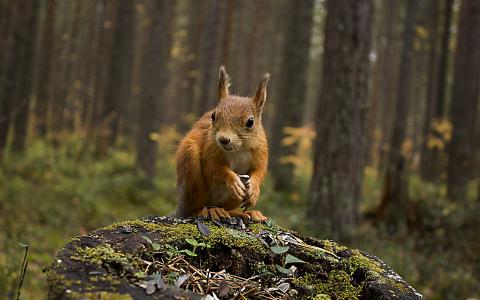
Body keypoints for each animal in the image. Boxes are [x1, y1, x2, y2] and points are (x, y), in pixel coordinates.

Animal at [175, 66, 270, 223]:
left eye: (250, 122)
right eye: (213, 116)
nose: (223, 139)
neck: (238, 149)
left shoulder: (260, 151)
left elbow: (259, 171)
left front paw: (255, 189)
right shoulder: (211, 148)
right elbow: (213, 168)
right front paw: (233, 180)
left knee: (227, 208)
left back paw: (244, 213)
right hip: (191, 170)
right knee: (194, 208)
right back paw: (208, 211)